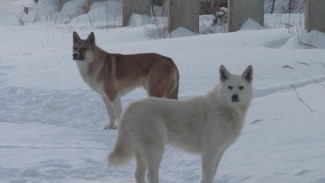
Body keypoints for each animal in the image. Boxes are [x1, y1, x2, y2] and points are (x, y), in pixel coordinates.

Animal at [107, 64, 252, 183]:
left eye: (241, 87)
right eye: (230, 87)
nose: (234, 96)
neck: (225, 108)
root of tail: (130, 108)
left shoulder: (219, 152)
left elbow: (212, 175)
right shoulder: (210, 151)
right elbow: (207, 177)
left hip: (141, 151)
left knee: (139, 174)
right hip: (155, 149)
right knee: (151, 175)